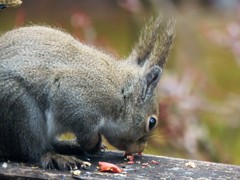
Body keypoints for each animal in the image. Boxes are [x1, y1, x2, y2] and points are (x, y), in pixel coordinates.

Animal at [0, 15, 174, 170]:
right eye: (152, 122)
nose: (140, 149)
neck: (120, 93)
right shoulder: (75, 98)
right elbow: (86, 132)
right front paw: (93, 143)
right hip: (19, 107)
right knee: (31, 149)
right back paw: (55, 157)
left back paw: (69, 146)